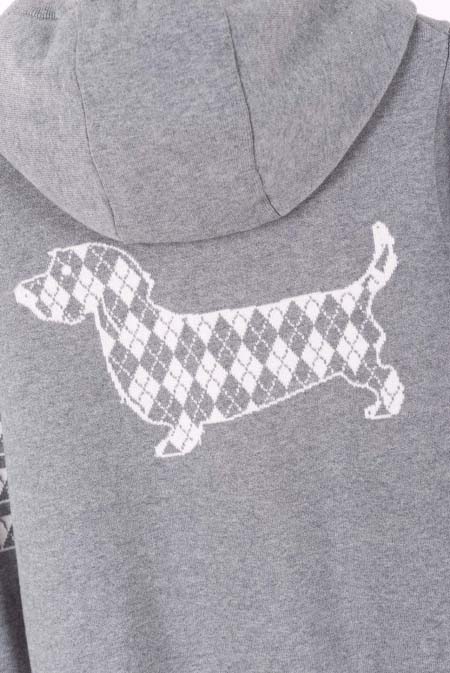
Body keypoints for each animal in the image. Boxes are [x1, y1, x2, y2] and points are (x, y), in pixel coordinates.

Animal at [15, 222, 404, 457]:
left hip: (357, 361)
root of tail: (354, 293)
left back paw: (385, 408)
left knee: (388, 379)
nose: (21, 291)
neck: (136, 331)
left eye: (65, 272)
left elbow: (183, 428)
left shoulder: (182, 406)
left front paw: (173, 447)